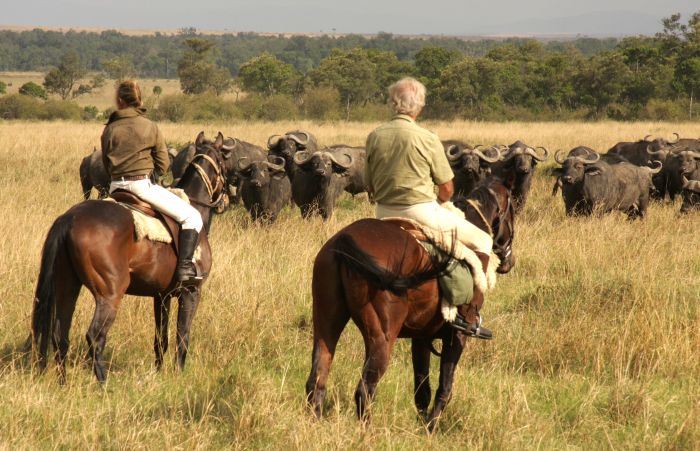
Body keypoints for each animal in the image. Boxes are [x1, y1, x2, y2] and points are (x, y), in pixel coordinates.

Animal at [31, 131, 228, 384]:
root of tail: (69, 218)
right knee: (95, 336)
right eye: (223, 162)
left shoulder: (161, 296)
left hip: (67, 287)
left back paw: (63, 383)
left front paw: (158, 373)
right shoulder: (191, 292)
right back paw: (103, 384)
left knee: (59, 335)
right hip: (110, 294)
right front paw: (179, 375)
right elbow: (182, 337)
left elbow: (160, 339)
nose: (226, 200)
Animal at [304, 177, 516, 430]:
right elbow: (445, 387)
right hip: (382, 338)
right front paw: (431, 427)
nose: (509, 262)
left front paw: (422, 424)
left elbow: (422, 389)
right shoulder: (457, 337)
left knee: (317, 380)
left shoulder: (421, 337)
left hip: (326, 324)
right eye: (513, 211)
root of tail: (344, 240)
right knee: (364, 390)